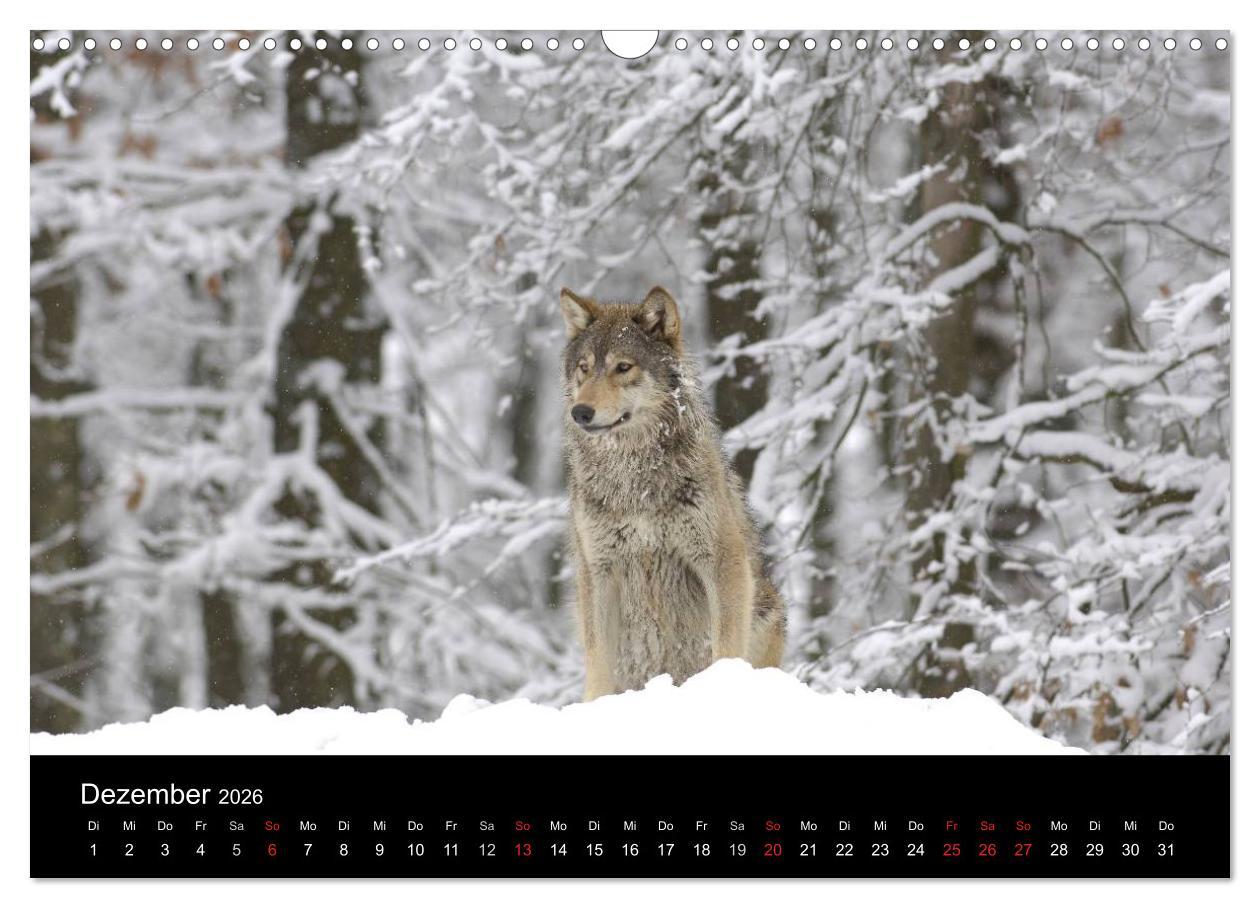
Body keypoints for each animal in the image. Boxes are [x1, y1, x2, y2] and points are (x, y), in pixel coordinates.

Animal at [558, 285, 787, 700]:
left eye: (623, 367)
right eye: (584, 367)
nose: (581, 412)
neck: (633, 478)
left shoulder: (721, 561)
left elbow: (725, 644)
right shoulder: (597, 571)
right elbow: (598, 661)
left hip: (766, 604)